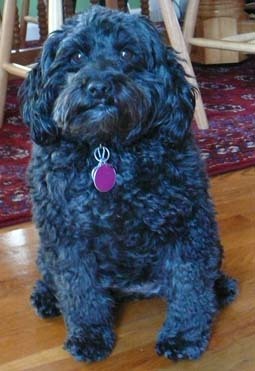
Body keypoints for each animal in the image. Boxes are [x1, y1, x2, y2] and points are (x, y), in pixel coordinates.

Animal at [19, 5, 237, 364]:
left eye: (126, 53)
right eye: (76, 56)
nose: (99, 86)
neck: (107, 148)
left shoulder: (187, 225)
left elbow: (189, 285)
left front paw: (184, 335)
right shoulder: (67, 237)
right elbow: (80, 291)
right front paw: (90, 336)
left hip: (212, 240)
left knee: (204, 275)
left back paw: (219, 288)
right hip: (46, 250)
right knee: (51, 276)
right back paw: (47, 298)